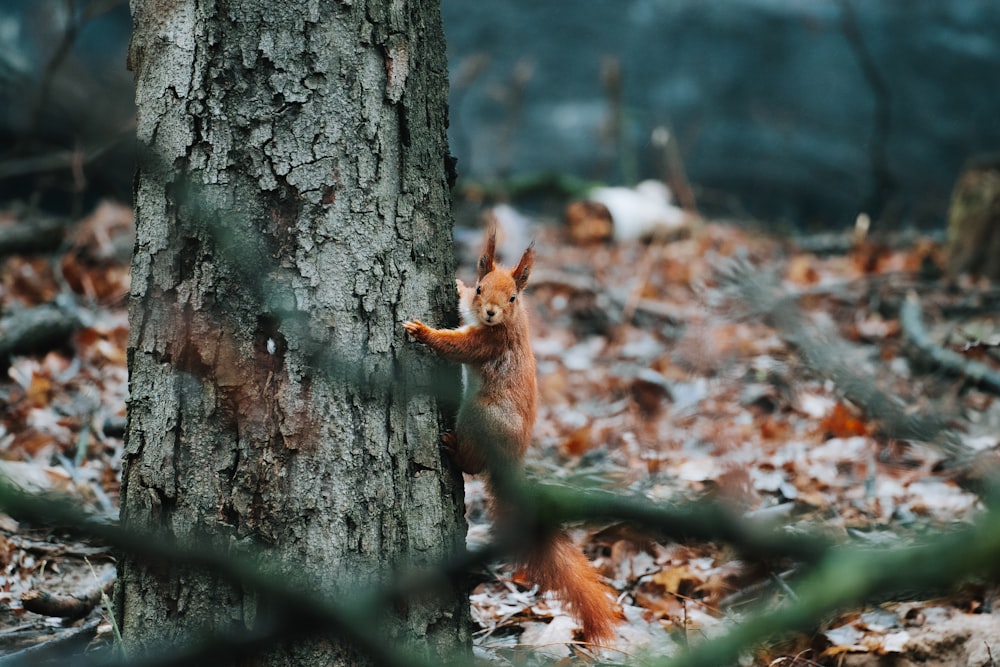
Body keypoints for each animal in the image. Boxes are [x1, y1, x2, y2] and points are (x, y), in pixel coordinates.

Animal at [402, 227, 620, 644]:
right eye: (480, 288)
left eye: (513, 298)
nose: (490, 311)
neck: (505, 323)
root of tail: (511, 460)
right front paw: (457, 285)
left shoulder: (488, 343)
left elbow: (457, 345)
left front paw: (422, 332)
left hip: (480, 414)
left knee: (473, 464)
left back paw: (453, 449)